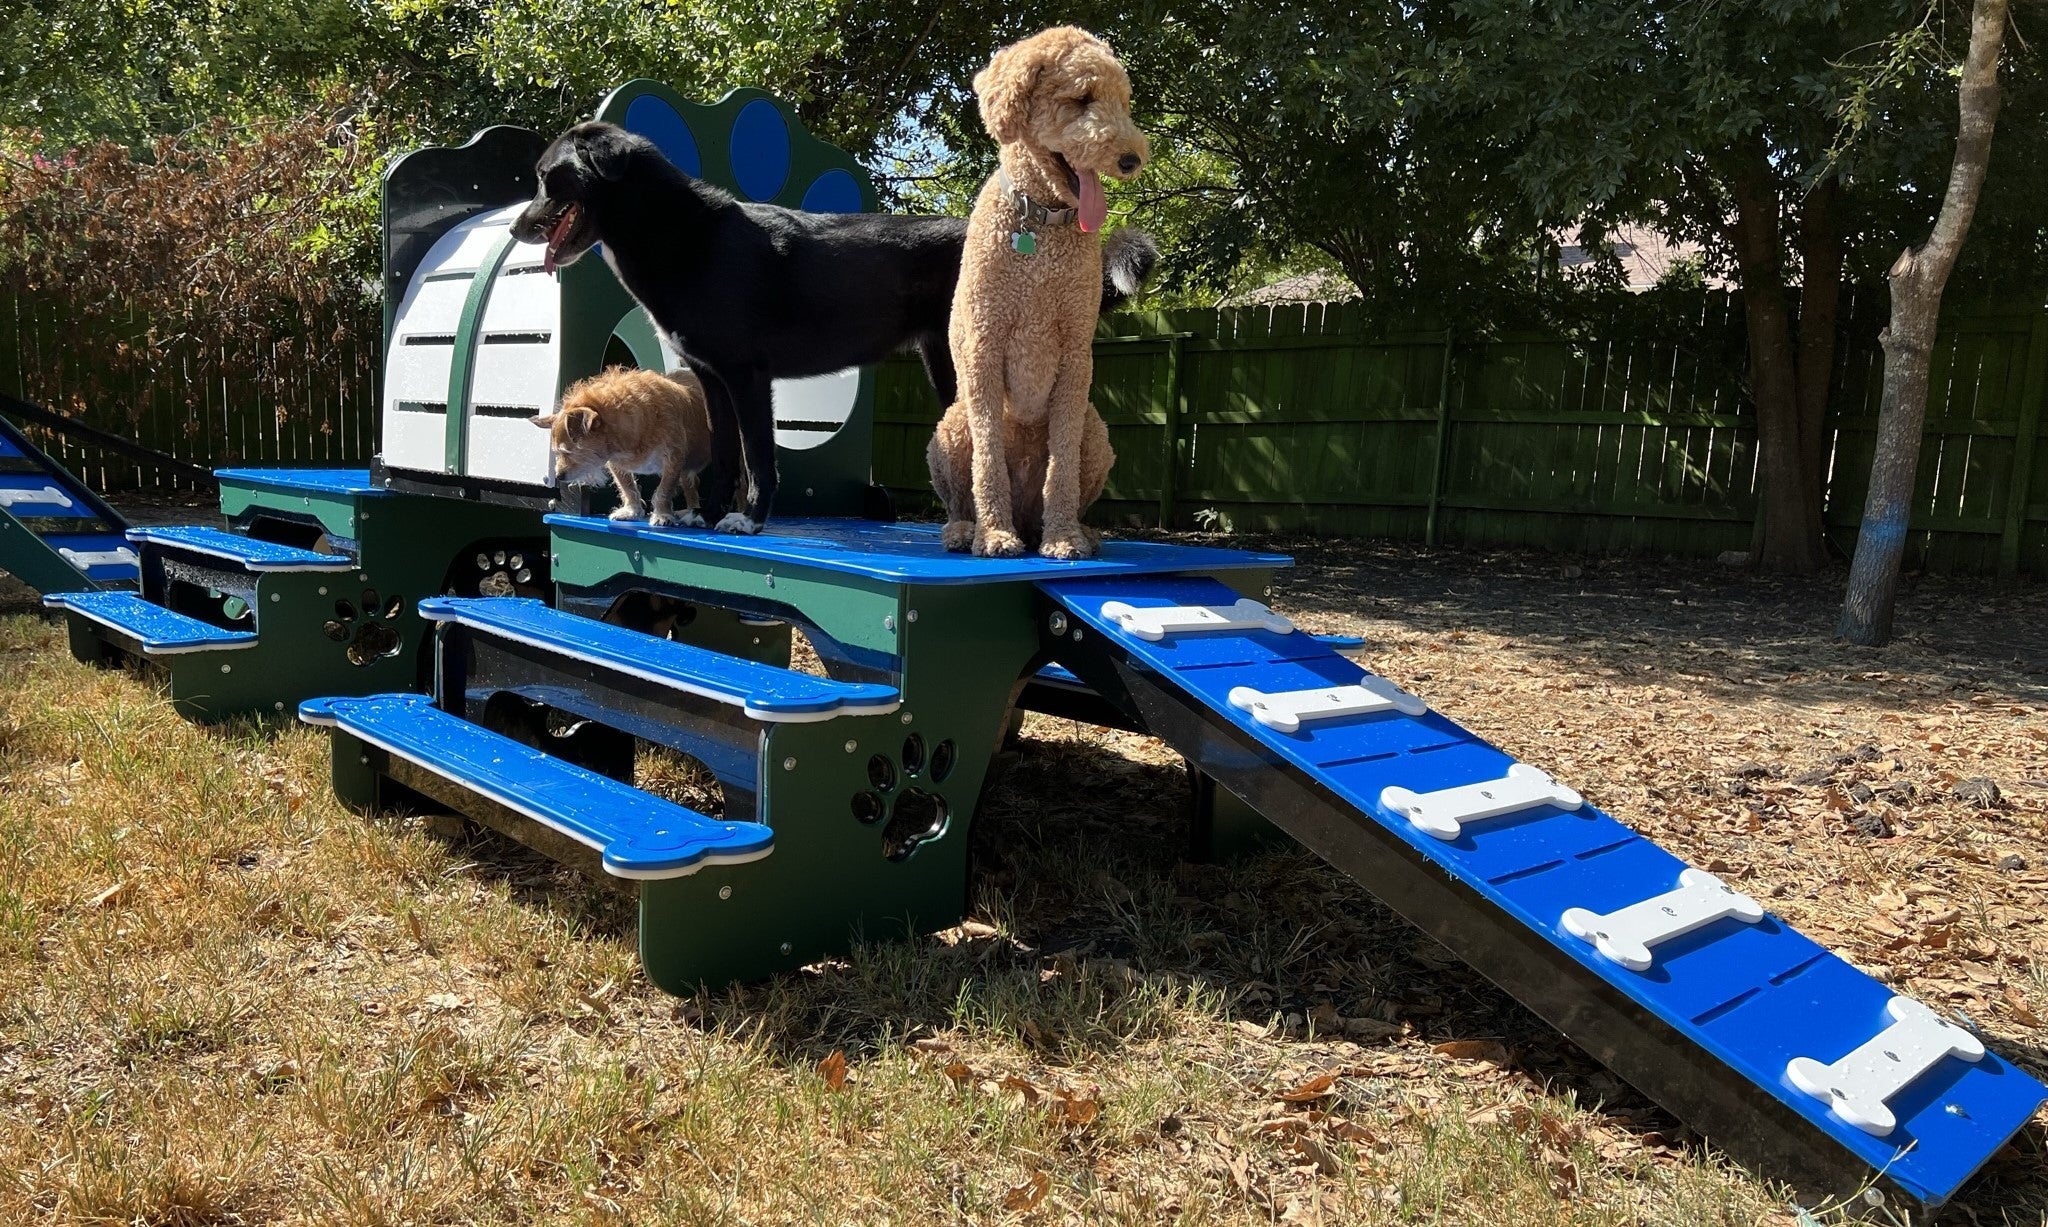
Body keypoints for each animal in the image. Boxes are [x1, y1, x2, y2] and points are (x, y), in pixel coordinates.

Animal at [509, 118, 1155, 532]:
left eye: (546, 178)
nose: (516, 228)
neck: (684, 233)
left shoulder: (747, 377)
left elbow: (758, 458)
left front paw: (750, 519)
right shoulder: (712, 379)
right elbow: (723, 456)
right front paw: (704, 514)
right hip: (948, 368)